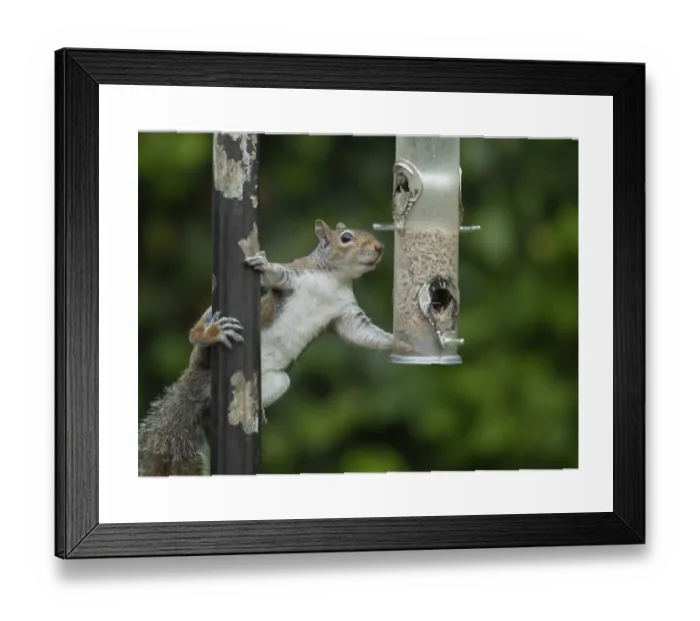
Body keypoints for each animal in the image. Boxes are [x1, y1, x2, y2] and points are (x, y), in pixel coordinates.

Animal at [138, 219, 409, 476]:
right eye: (346, 237)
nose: (380, 248)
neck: (334, 279)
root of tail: (199, 382)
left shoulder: (346, 316)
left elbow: (362, 334)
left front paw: (399, 341)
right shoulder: (294, 275)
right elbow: (275, 274)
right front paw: (263, 263)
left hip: (276, 381)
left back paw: (259, 410)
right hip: (206, 340)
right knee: (195, 337)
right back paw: (212, 333)